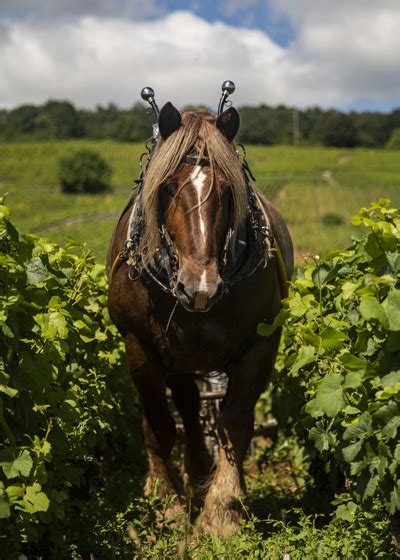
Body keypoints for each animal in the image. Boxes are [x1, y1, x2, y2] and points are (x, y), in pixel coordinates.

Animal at [107, 101, 294, 540]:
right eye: (167, 187)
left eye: (227, 190)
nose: (200, 287)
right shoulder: (140, 346)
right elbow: (160, 425)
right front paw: (167, 502)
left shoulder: (260, 345)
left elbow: (234, 422)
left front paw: (222, 509)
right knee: (186, 411)